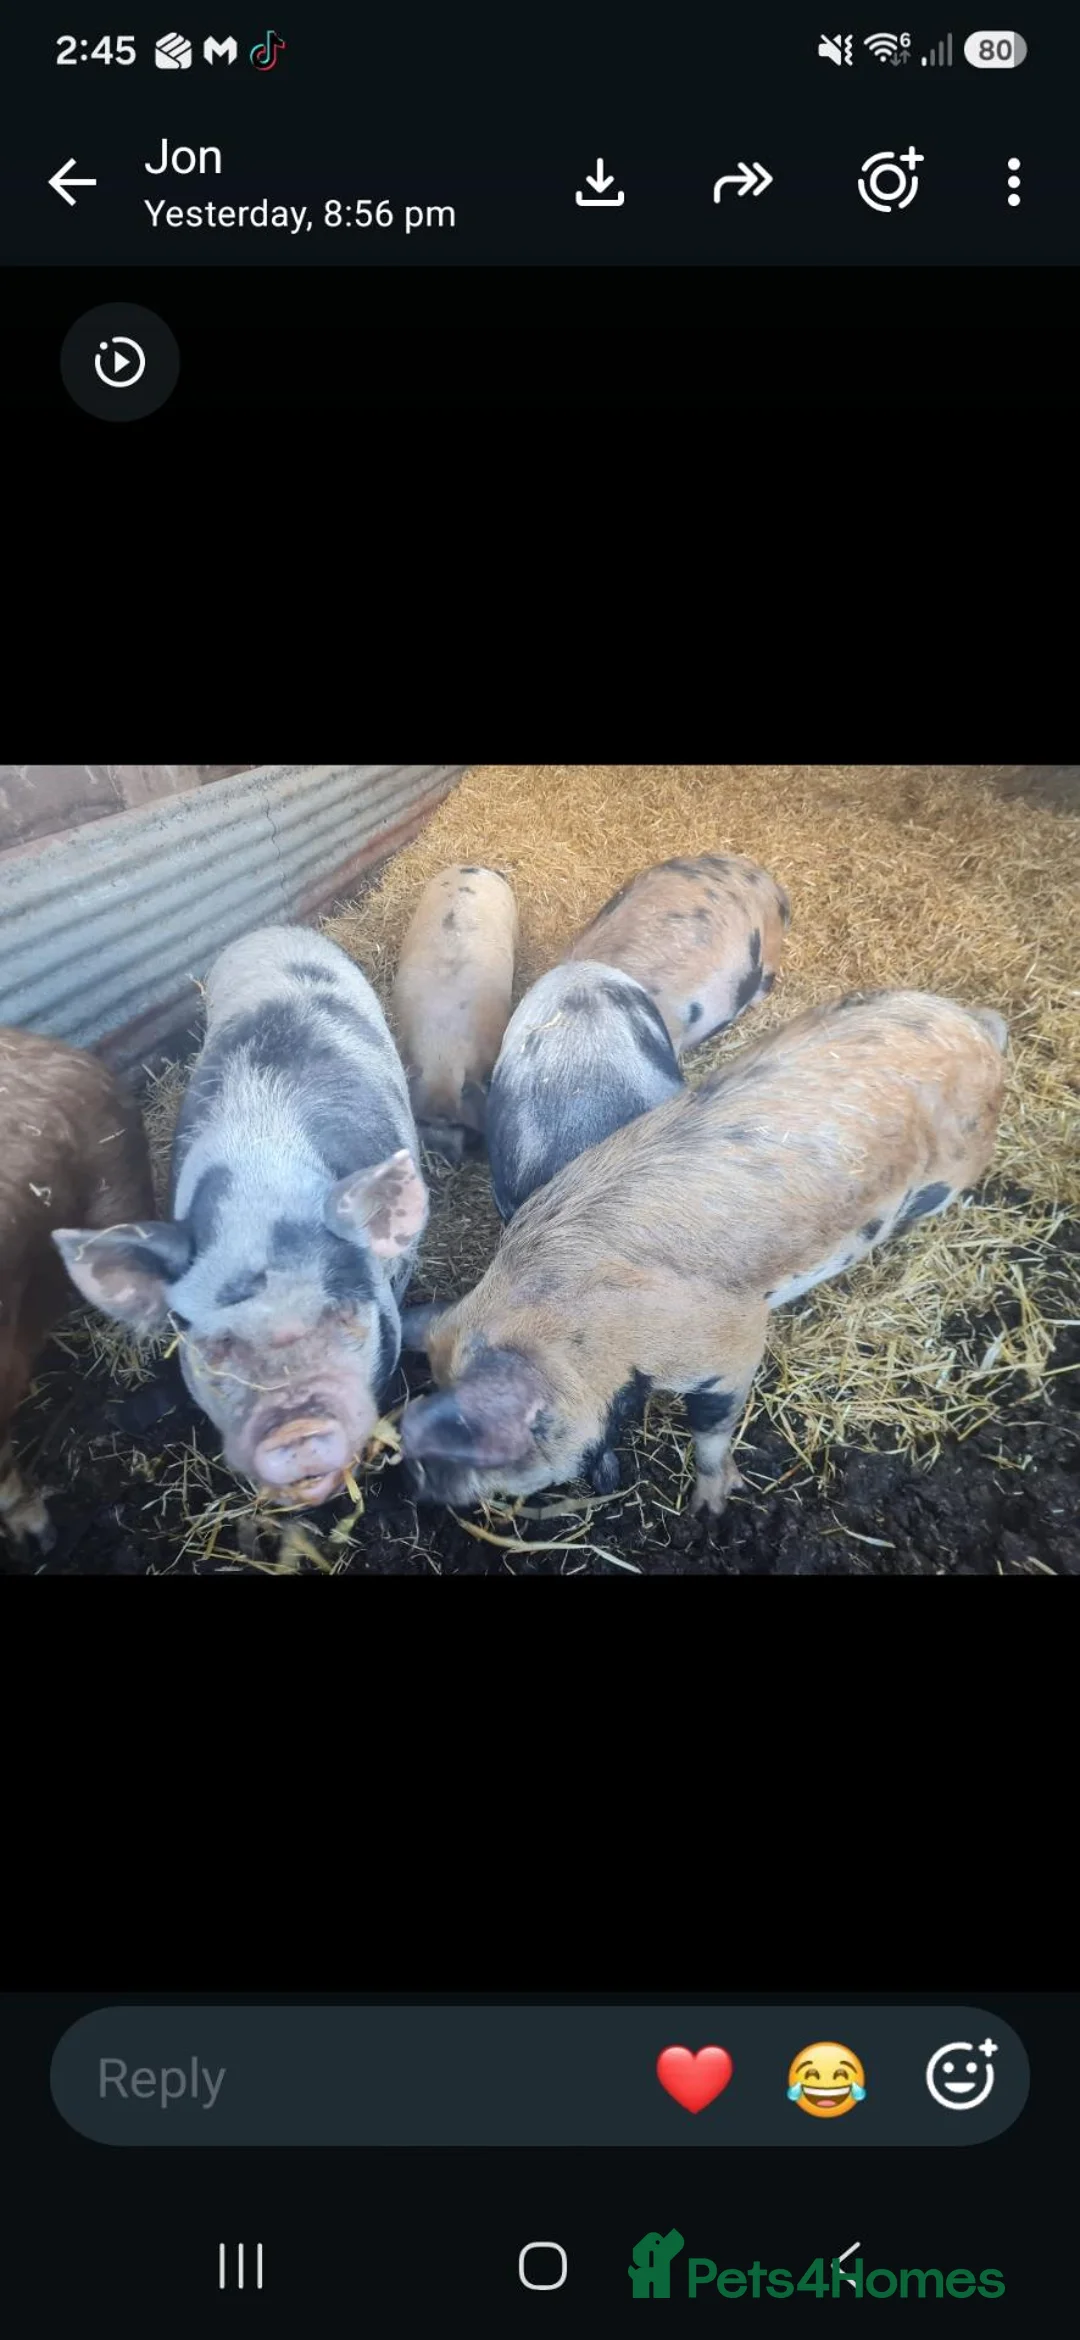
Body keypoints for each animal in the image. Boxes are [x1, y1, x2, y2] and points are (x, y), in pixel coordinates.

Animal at [399, 991, 1008, 1517]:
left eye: (493, 1448)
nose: (416, 1478)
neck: (577, 1326)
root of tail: (975, 1026)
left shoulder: (729, 1339)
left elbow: (713, 1423)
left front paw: (711, 1508)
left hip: (954, 1166)